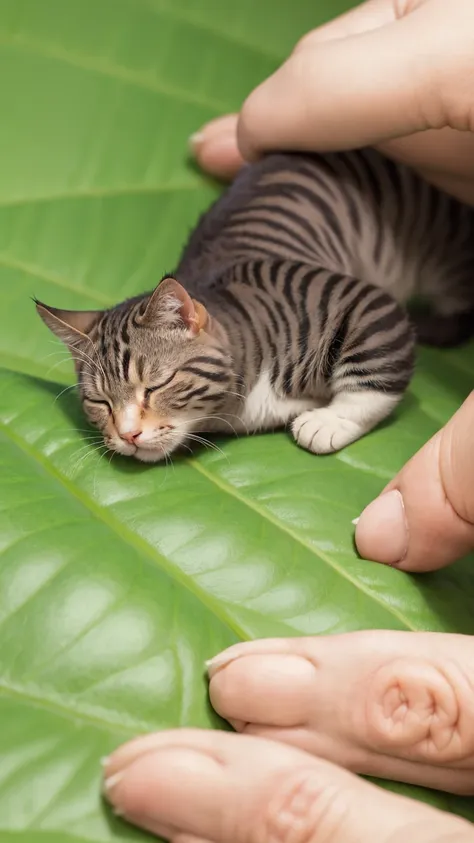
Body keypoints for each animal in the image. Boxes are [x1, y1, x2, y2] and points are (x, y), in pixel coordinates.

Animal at [35, 147, 474, 462]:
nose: (127, 434)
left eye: (155, 386)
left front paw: (331, 419)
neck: (241, 408)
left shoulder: (363, 301)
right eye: (99, 402)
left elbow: (373, 377)